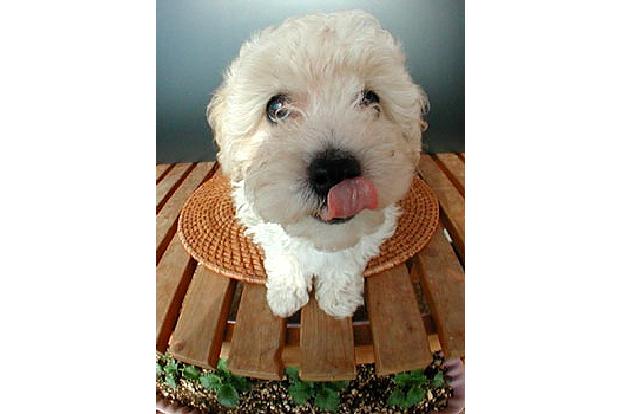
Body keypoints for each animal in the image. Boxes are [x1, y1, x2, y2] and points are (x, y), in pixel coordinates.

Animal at [207, 10, 429, 318]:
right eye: (276, 109)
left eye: (370, 98)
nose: (335, 170)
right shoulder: (258, 217)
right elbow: (282, 249)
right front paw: (286, 293)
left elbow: (347, 257)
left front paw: (339, 297)